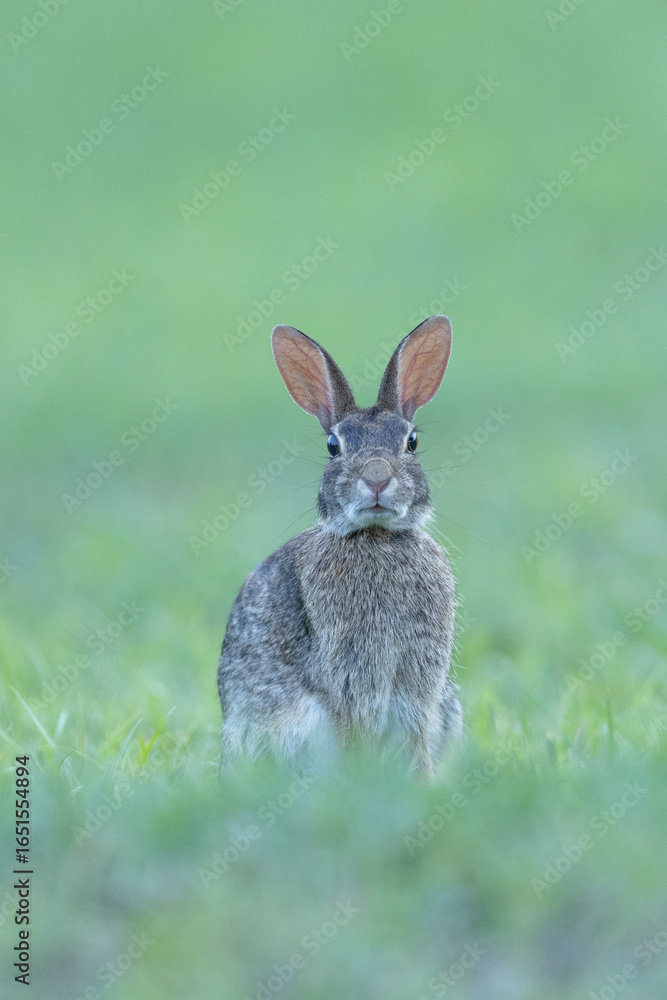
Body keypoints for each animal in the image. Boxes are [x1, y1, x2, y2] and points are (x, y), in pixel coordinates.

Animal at [217, 314, 462, 779]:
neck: (377, 537)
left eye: (412, 442)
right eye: (333, 446)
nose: (378, 478)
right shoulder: (348, 674)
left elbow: (415, 737)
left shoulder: (418, 683)